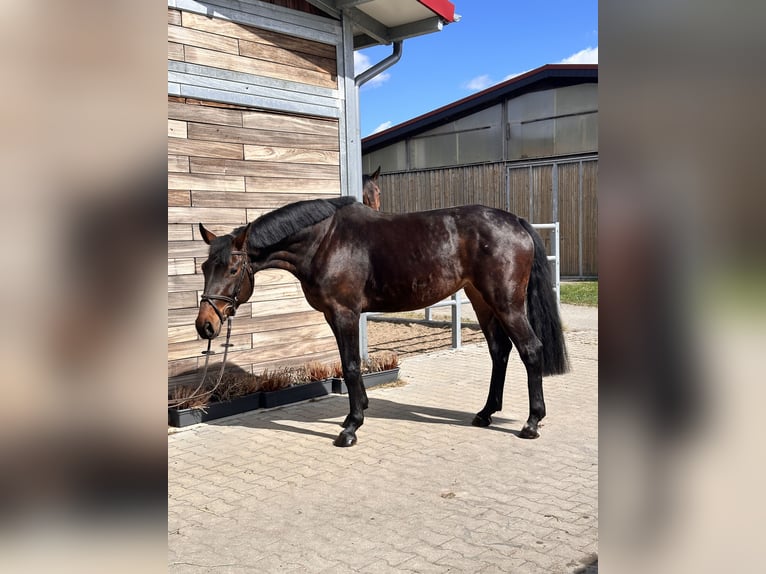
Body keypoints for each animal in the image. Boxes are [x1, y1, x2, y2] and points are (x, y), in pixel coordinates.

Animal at [196, 197, 569, 447]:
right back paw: (486, 413)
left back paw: (532, 423)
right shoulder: (335, 315)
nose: (205, 325)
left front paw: (350, 427)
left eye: (233, 269)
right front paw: (357, 412)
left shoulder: (343, 313)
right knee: (499, 351)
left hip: (506, 302)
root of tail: (516, 221)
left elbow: (350, 366)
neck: (325, 241)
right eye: (204, 267)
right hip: (481, 300)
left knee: (530, 349)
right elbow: (349, 364)